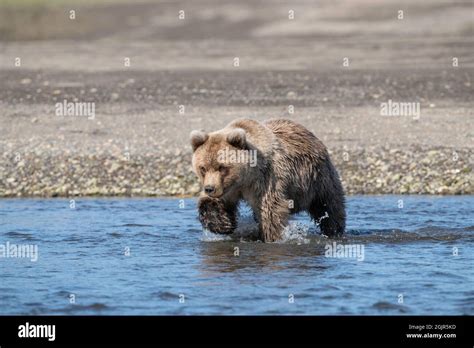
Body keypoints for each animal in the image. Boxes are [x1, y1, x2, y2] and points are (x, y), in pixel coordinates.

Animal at [191, 117, 346, 242]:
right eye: (203, 168)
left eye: (222, 167)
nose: (210, 188)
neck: (245, 179)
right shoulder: (229, 189)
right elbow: (212, 203)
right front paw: (224, 225)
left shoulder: (266, 181)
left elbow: (271, 211)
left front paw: (272, 237)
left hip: (318, 178)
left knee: (328, 206)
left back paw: (334, 231)